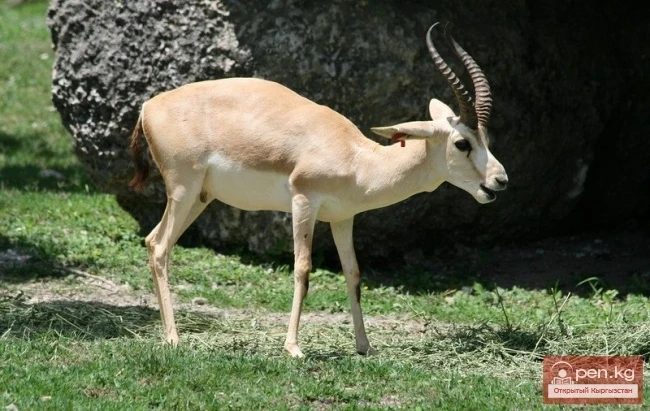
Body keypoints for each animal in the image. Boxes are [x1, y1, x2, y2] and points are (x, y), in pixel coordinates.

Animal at [128, 22, 507, 358]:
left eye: (486, 138)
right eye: (462, 143)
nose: (499, 181)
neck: (359, 160)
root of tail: (149, 107)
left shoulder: (343, 218)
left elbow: (353, 273)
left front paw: (364, 346)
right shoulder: (304, 202)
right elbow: (303, 268)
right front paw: (293, 348)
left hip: (200, 198)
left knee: (152, 241)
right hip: (183, 190)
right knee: (160, 247)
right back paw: (173, 339)